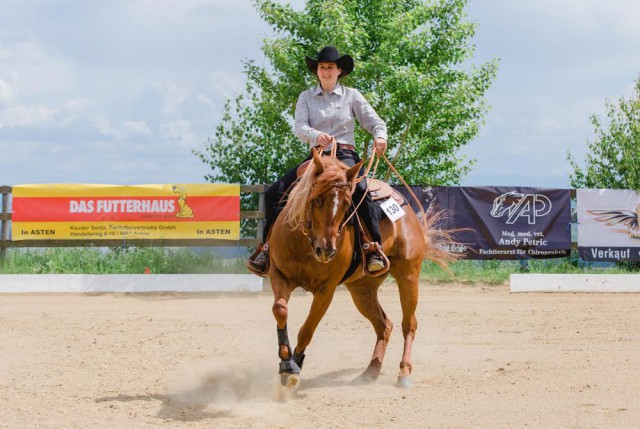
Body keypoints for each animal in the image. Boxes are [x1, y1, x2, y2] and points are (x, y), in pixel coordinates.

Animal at [264, 147, 450, 388]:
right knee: (384, 325)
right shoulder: (278, 275)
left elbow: (307, 330)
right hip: (362, 289)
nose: (326, 250)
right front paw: (286, 363)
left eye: (347, 204)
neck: (305, 243)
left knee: (408, 324)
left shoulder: (326, 291)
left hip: (408, 275)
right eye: (317, 199)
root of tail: (409, 212)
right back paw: (370, 372)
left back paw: (404, 372)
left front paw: (295, 366)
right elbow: (280, 310)